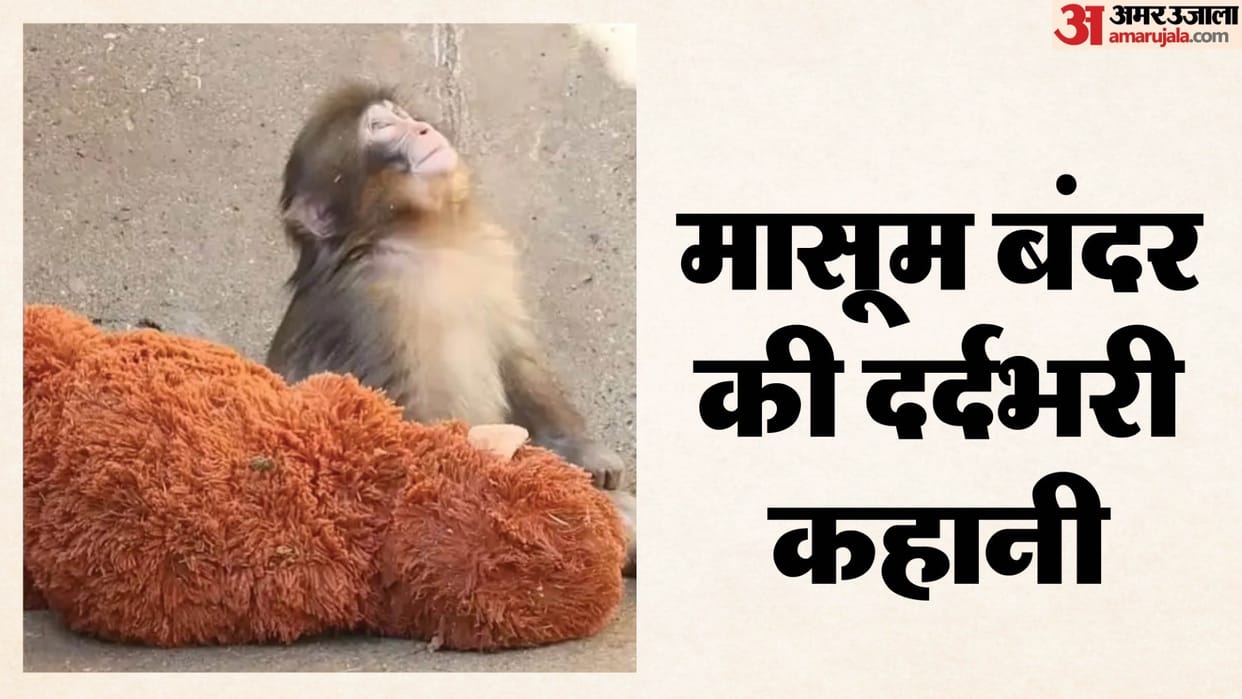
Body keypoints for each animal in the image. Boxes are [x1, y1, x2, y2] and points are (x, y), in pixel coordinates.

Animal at [265, 82, 635, 576]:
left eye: (400, 116)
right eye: (381, 128)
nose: (423, 128)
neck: (422, 238)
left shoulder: (488, 257)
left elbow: (516, 359)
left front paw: (584, 452)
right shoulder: (370, 310)